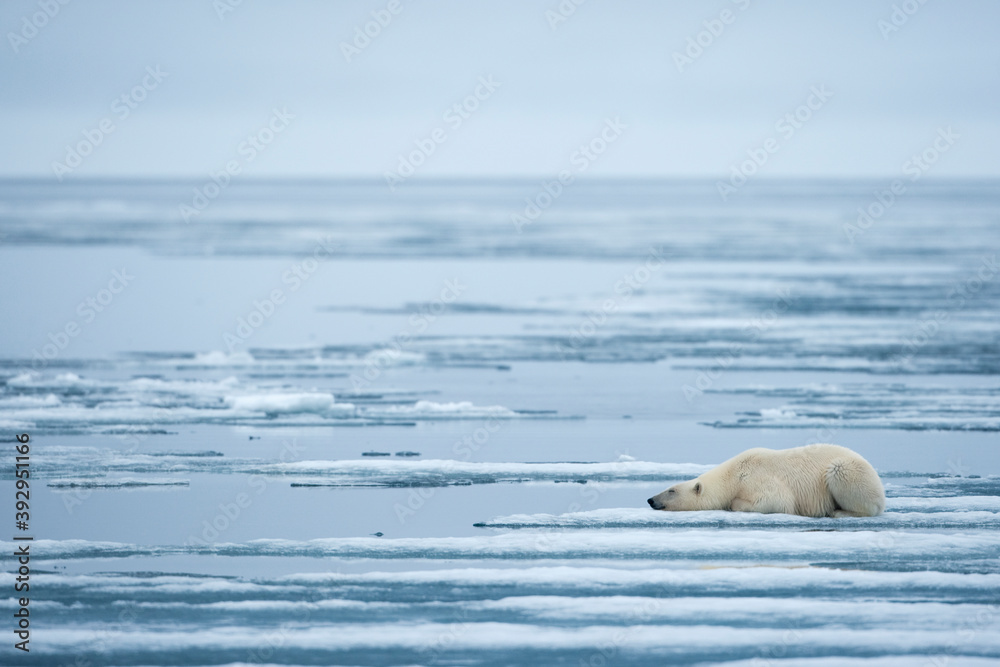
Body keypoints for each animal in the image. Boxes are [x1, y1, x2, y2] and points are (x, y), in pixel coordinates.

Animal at [647, 444, 884, 518]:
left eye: (671, 490)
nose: (650, 500)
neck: (732, 475)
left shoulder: (757, 478)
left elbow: (776, 501)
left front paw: (733, 504)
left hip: (847, 471)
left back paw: (839, 511)